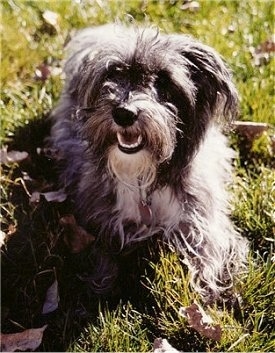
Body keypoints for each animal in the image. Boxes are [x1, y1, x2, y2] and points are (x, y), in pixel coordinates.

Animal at [50, 24, 250, 300]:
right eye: (113, 74)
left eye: (163, 80)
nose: (124, 113)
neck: (142, 176)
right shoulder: (98, 219)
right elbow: (103, 258)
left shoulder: (201, 223)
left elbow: (206, 259)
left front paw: (207, 294)